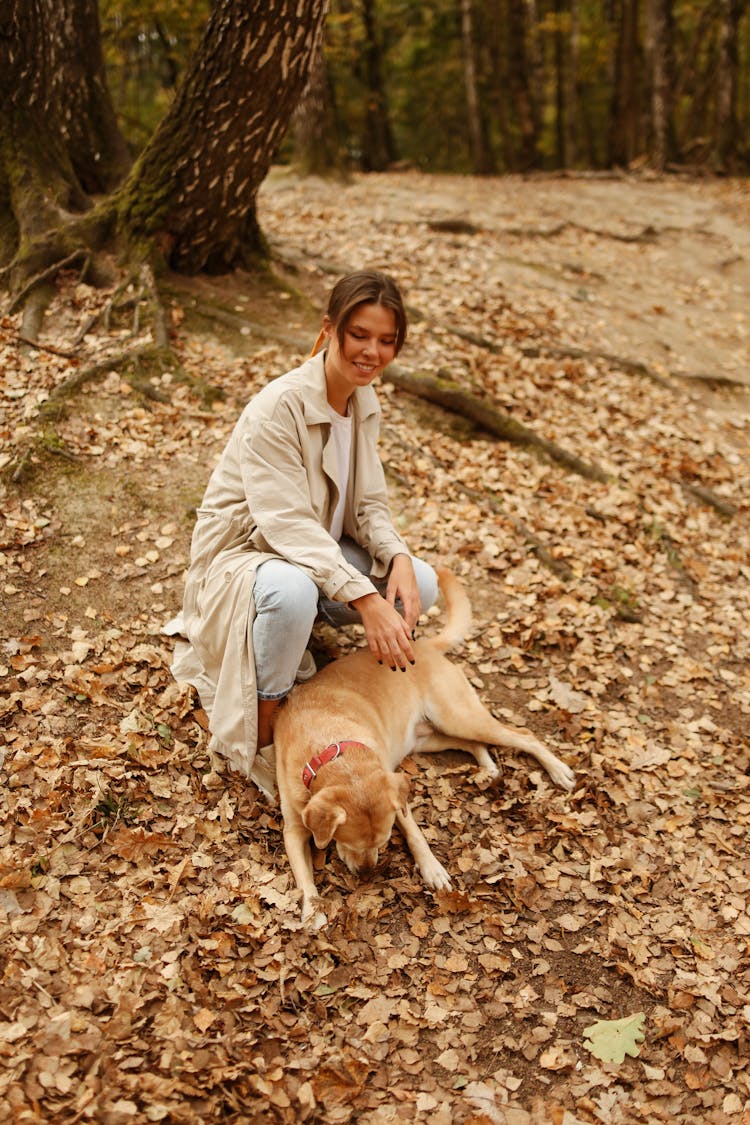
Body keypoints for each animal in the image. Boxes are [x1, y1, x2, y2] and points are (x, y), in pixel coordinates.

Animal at [274, 567, 575, 927]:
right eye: (345, 842)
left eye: (382, 841)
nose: (367, 873)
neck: (331, 749)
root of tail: (424, 645)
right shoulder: (293, 830)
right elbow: (303, 878)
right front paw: (312, 911)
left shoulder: (394, 794)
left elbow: (415, 833)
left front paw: (431, 868)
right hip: (429, 738)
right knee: (473, 744)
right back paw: (488, 768)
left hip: (458, 716)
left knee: (523, 735)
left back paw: (558, 770)